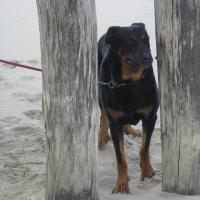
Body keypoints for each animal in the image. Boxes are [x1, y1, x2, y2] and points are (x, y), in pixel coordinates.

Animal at [97, 22, 159, 193]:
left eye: (146, 40)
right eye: (130, 41)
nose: (148, 58)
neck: (129, 83)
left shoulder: (151, 117)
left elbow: (145, 148)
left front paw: (147, 170)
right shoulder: (115, 123)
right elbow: (120, 158)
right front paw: (122, 183)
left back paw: (131, 130)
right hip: (101, 86)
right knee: (103, 114)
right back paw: (102, 136)